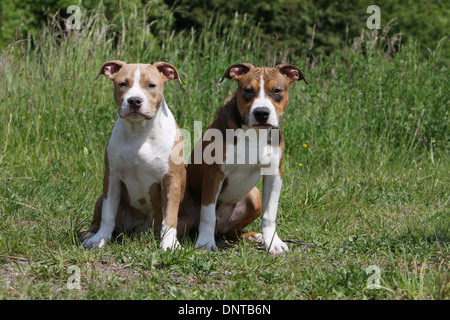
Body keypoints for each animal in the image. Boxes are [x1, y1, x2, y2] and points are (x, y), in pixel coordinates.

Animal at [81, 60, 189, 250]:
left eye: (151, 85)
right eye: (123, 83)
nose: (134, 101)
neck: (139, 131)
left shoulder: (171, 179)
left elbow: (169, 215)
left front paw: (169, 244)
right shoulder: (112, 178)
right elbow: (107, 214)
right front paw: (101, 238)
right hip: (102, 197)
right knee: (99, 216)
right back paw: (90, 234)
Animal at [185, 63, 308, 255]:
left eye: (277, 90)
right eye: (248, 90)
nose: (262, 113)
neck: (255, 133)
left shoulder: (274, 174)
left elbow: (270, 214)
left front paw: (273, 242)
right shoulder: (214, 173)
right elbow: (208, 214)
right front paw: (205, 243)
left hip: (254, 196)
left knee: (232, 233)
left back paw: (252, 236)